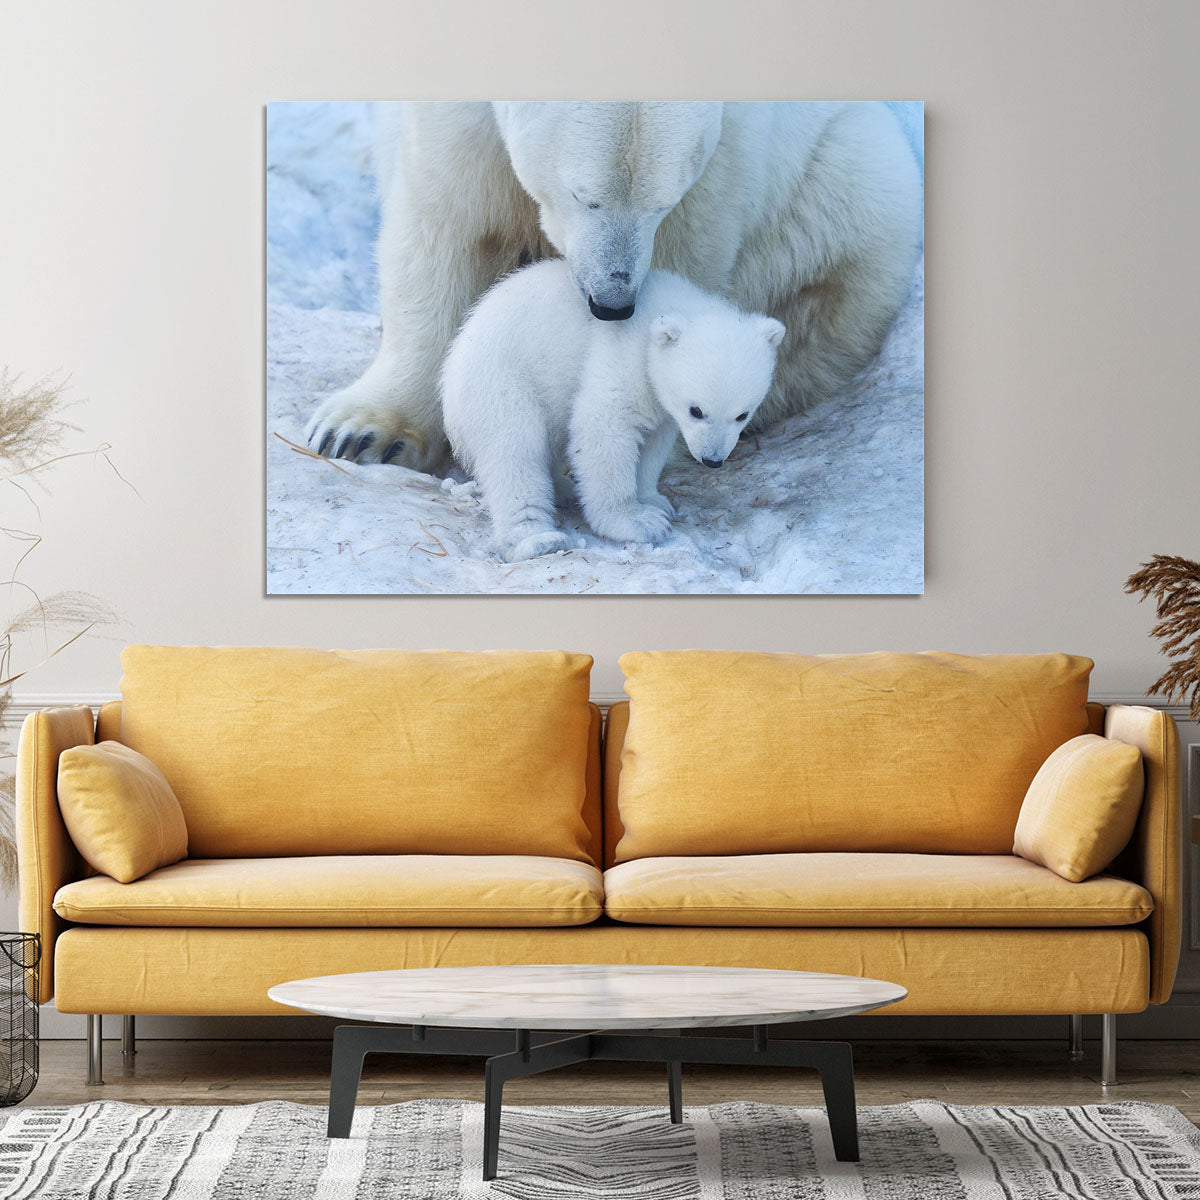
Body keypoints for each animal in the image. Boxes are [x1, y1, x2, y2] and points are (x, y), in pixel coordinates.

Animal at [304, 101, 922, 474]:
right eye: (586, 195)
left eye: (662, 202)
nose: (612, 302)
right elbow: (444, 221)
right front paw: (360, 433)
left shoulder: (724, 160)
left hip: (844, 183)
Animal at [442, 260, 785, 562]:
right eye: (696, 410)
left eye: (742, 414)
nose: (712, 460)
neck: (664, 310)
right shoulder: (622, 355)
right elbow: (603, 430)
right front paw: (638, 522)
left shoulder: (660, 401)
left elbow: (653, 442)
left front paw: (655, 502)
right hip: (502, 382)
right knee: (515, 454)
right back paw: (538, 539)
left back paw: (563, 489)